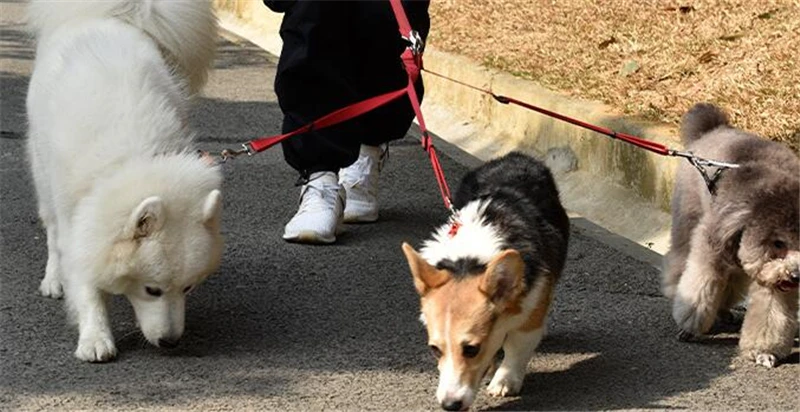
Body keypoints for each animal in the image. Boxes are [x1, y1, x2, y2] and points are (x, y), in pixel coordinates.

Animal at [26, 0, 221, 362]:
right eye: (152, 290)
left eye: (188, 287)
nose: (171, 342)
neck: (133, 160)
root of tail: (106, 16)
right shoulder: (81, 219)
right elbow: (85, 282)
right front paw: (95, 338)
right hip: (43, 174)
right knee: (52, 233)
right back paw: (53, 279)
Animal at [402, 152, 570, 410]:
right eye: (434, 350)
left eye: (471, 349)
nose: (449, 405)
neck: (469, 261)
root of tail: (515, 156)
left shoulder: (531, 305)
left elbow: (516, 347)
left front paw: (504, 381)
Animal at [663, 103, 800, 368]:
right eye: (778, 242)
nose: (796, 275)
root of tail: (714, 129)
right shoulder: (713, 243)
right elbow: (701, 287)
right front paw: (690, 328)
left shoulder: (774, 280)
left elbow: (771, 314)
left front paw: (763, 352)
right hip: (688, 216)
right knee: (679, 259)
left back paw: (724, 310)